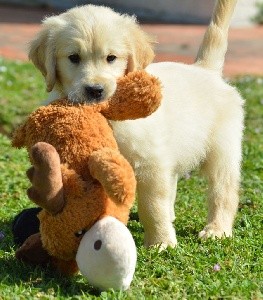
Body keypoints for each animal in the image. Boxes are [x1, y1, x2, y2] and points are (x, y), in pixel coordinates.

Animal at [27, 0, 244, 248]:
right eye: (74, 57)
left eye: (111, 58)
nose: (95, 90)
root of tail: (205, 69)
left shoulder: (149, 163)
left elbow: (152, 206)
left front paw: (161, 242)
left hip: (222, 151)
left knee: (223, 191)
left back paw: (217, 229)